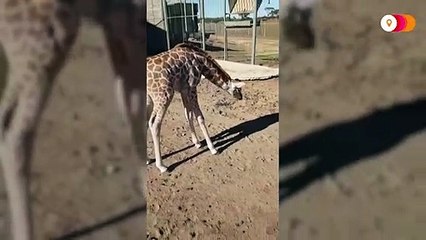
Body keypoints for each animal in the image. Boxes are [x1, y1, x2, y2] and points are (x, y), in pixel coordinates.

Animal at [147, 42, 245, 172]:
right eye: (238, 89)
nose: (241, 97)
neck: (202, 63)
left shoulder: (184, 90)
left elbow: (188, 115)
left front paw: (197, 143)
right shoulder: (192, 86)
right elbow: (200, 117)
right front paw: (213, 148)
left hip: (149, 98)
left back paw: (148, 159)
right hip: (164, 95)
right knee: (154, 123)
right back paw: (162, 166)